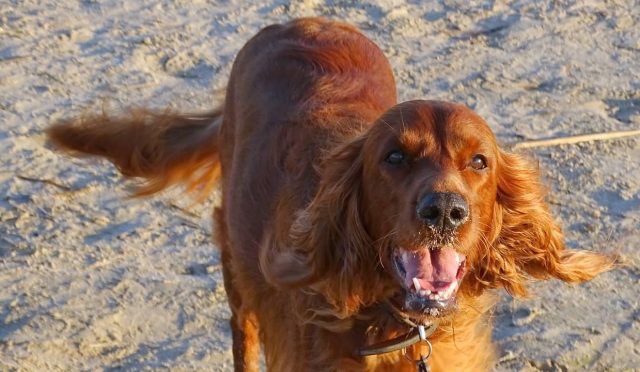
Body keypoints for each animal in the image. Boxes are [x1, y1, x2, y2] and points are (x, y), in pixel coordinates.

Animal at [47, 16, 612, 370]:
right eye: (394, 158)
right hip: (236, 267)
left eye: (479, 162)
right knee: (242, 333)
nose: (445, 212)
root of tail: (296, 22)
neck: (387, 324)